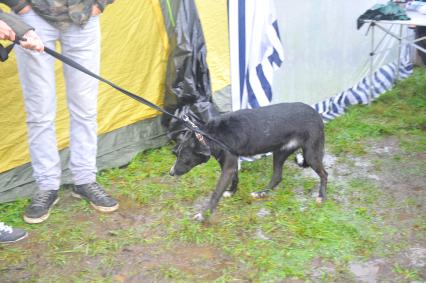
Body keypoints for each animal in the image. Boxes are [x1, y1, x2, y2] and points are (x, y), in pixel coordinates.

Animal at [169, 102, 326, 222]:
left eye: (184, 158)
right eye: (176, 154)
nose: (171, 173)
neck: (211, 136)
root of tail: (317, 114)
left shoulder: (228, 167)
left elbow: (216, 193)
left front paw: (203, 215)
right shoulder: (231, 163)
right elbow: (235, 178)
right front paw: (231, 192)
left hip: (310, 154)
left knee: (324, 174)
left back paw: (321, 196)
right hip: (280, 152)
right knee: (277, 176)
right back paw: (261, 193)